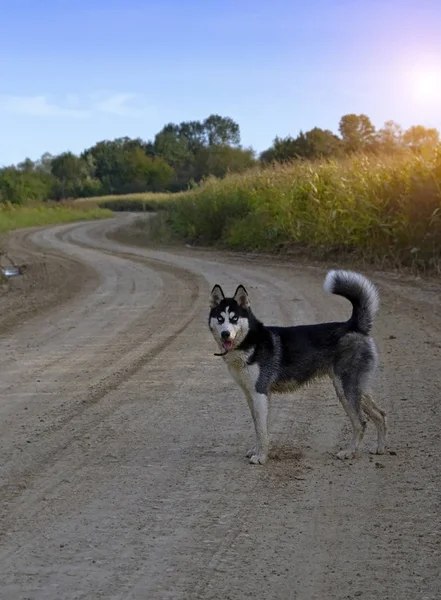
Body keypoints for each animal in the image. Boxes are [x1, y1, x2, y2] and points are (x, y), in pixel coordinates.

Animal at [208, 270, 384, 464]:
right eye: (220, 319)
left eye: (234, 319)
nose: (225, 334)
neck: (249, 342)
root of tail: (353, 325)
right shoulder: (250, 395)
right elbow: (258, 427)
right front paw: (256, 450)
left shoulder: (259, 393)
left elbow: (261, 430)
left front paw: (261, 456)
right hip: (356, 389)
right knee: (380, 414)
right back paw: (380, 448)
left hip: (345, 390)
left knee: (361, 423)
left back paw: (349, 452)